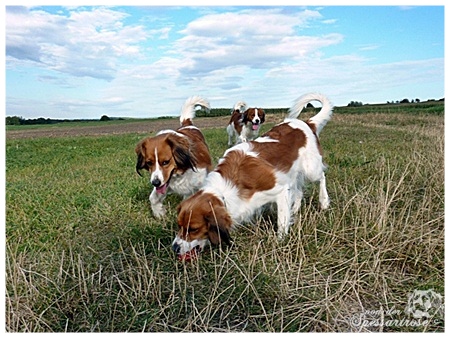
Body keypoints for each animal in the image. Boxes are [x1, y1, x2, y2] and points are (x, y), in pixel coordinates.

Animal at [174, 92, 332, 258]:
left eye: (193, 229)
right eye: (179, 226)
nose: (174, 248)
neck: (227, 188)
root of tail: (307, 123)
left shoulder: (280, 190)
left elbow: (282, 220)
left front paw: (280, 240)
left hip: (311, 169)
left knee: (322, 177)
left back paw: (324, 201)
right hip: (293, 174)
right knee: (299, 191)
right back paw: (295, 209)